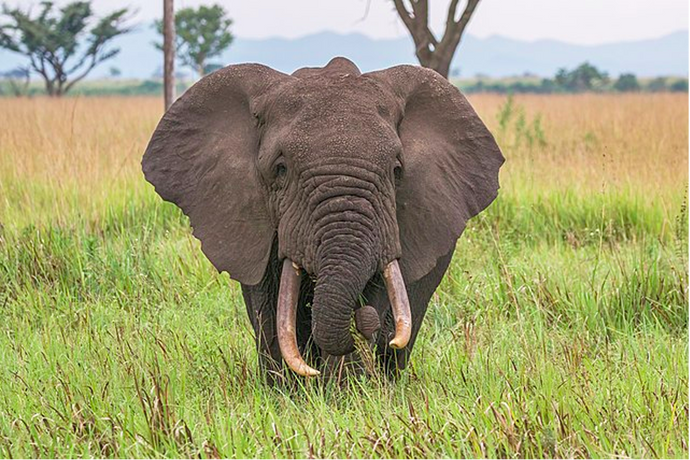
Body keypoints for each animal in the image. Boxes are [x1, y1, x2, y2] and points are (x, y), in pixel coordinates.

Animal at [142, 57, 504, 382]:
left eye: (397, 170)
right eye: (280, 169)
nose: (362, 321)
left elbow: (379, 288)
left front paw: (344, 390)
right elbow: (267, 302)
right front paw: (287, 392)